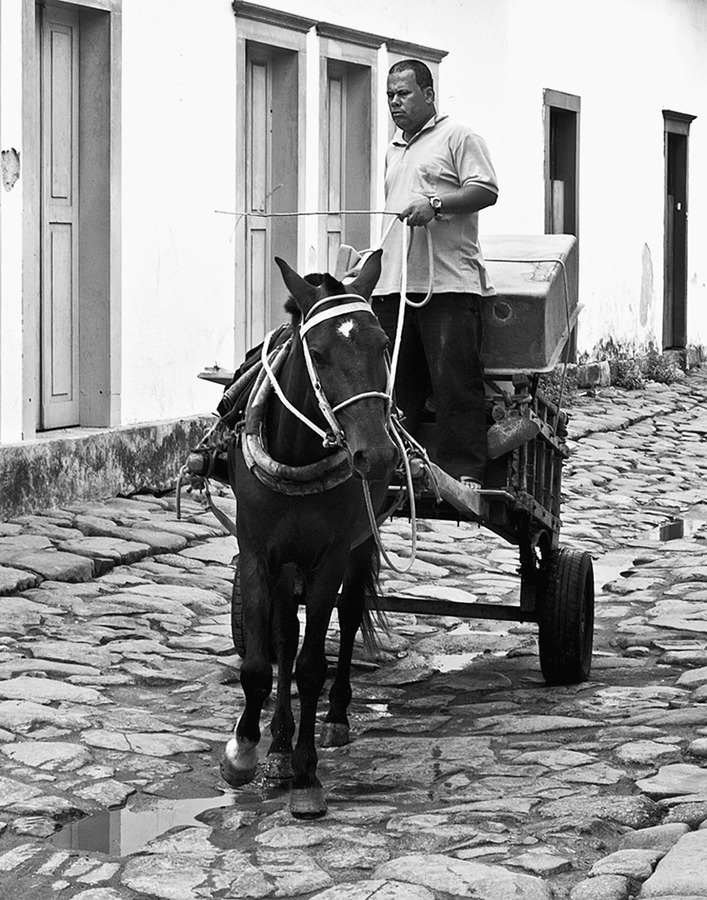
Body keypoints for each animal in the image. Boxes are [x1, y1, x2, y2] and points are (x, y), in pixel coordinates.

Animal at [221, 246, 398, 816]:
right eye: (317, 353)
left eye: (383, 345)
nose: (377, 455)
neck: (297, 454)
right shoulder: (257, 554)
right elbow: (262, 662)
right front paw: (246, 752)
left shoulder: (330, 559)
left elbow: (311, 665)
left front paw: (307, 778)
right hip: (285, 563)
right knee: (283, 634)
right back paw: (276, 746)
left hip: (358, 547)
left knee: (350, 614)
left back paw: (336, 718)